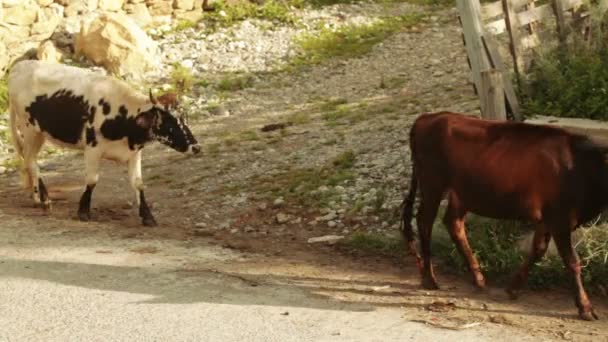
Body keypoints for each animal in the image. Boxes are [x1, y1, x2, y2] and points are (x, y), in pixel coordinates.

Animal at [7, 60, 201, 227]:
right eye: (168, 122)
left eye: (185, 117)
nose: (196, 147)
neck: (123, 115)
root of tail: (20, 66)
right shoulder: (93, 148)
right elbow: (92, 180)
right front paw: (83, 211)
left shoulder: (134, 153)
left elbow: (138, 183)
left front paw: (147, 216)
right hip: (29, 130)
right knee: (31, 162)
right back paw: (45, 200)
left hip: (38, 134)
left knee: (29, 161)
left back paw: (36, 198)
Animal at [400, 110, 608, 320]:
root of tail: (428, 117)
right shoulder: (560, 219)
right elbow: (572, 262)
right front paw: (585, 307)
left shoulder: (547, 219)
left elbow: (538, 250)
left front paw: (513, 287)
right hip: (432, 184)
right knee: (425, 223)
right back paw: (429, 278)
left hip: (462, 192)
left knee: (453, 223)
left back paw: (478, 277)